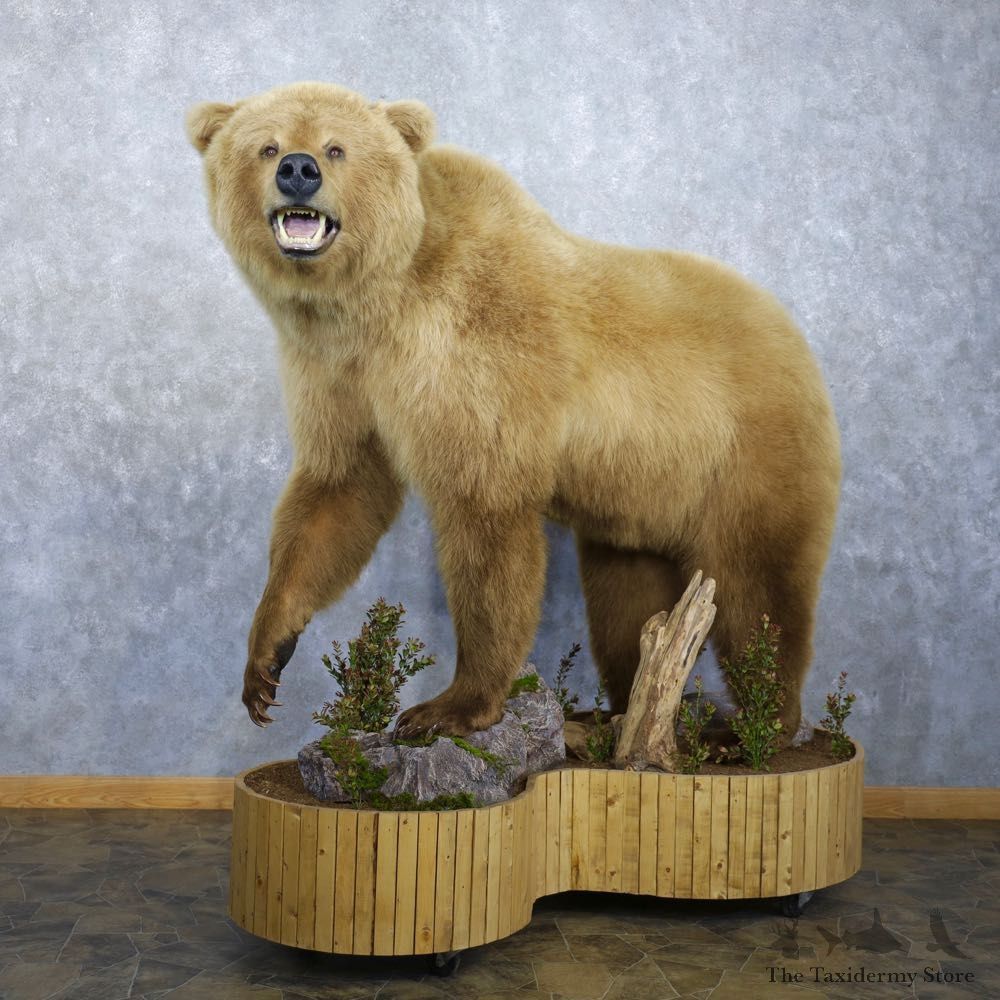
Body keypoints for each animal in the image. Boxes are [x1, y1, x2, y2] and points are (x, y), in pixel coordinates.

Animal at [186, 82, 841, 742]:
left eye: (336, 148)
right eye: (268, 146)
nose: (299, 171)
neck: (379, 306)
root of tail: (795, 337)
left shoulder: (479, 357)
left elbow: (487, 527)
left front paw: (447, 706)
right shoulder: (339, 376)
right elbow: (335, 491)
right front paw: (266, 659)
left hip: (748, 446)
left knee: (756, 587)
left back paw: (754, 724)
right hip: (643, 492)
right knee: (627, 599)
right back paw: (622, 711)